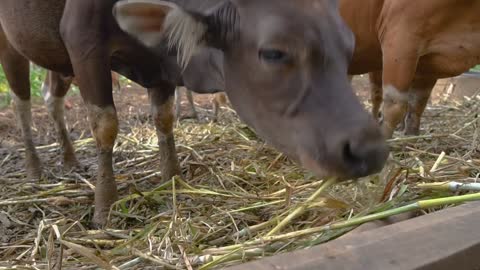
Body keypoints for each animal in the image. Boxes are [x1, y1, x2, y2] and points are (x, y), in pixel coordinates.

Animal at [0, 0, 390, 226]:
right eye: (273, 53)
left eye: (348, 45)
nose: (368, 149)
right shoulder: (82, 39)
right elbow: (105, 124)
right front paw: (105, 207)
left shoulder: (159, 64)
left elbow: (164, 117)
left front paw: (173, 178)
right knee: (21, 103)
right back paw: (35, 167)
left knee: (50, 97)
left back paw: (69, 159)